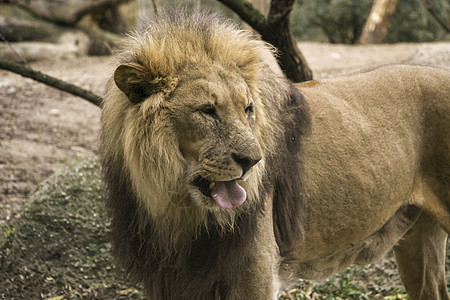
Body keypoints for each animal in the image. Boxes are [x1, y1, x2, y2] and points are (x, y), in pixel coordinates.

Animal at [102, 10, 450, 300]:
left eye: (247, 109)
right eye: (207, 111)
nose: (253, 162)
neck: (175, 210)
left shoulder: (254, 274)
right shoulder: (168, 280)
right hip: (418, 236)